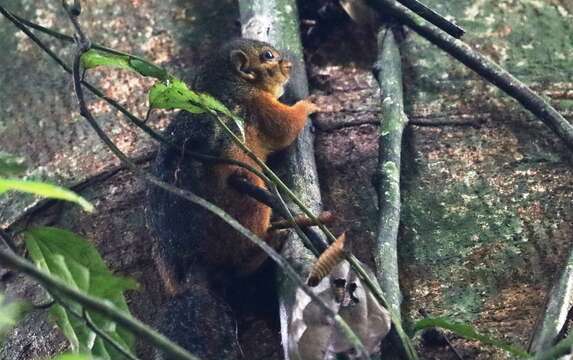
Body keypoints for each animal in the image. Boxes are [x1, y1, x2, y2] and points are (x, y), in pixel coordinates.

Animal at [146, 38, 318, 358]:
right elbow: (285, 127)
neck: (226, 83)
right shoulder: (259, 107)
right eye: (268, 56)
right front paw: (308, 104)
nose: (290, 65)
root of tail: (196, 267)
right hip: (249, 201)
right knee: (240, 264)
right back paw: (270, 239)